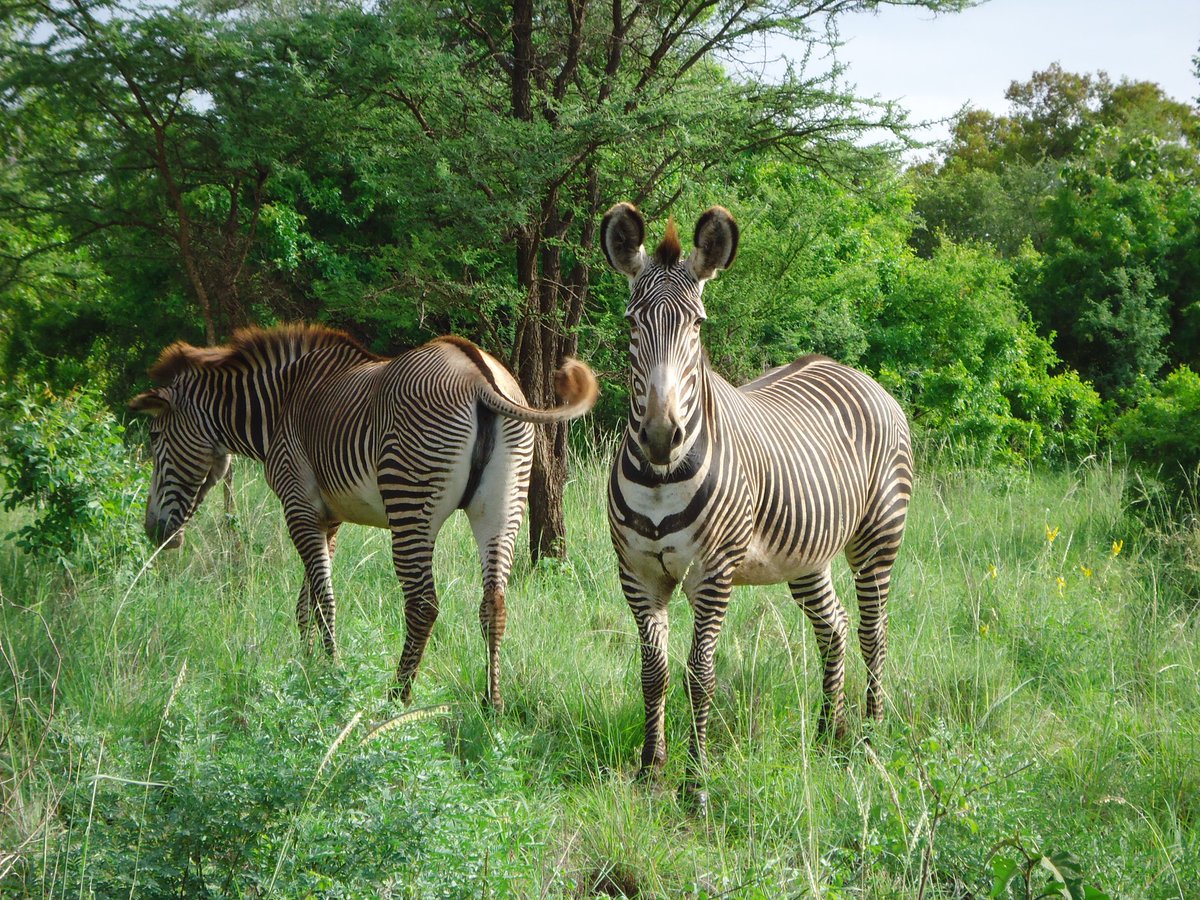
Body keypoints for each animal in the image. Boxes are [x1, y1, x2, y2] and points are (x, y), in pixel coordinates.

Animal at [129, 323, 598, 709]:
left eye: (154, 436)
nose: (154, 532)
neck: (282, 404)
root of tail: (478, 374)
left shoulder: (298, 504)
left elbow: (323, 598)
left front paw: (331, 674)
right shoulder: (328, 516)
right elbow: (307, 600)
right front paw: (307, 663)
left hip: (409, 501)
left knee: (423, 605)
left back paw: (396, 698)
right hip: (503, 505)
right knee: (494, 603)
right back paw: (492, 704)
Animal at [601, 202, 912, 805]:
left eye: (697, 326)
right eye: (631, 323)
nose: (660, 436)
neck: (659, 477)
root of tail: (855, 373)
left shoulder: (712, 572)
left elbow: (699, 673)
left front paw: (696, 780)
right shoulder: (637, 572)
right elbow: (653, 672)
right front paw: (651, 769)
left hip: (877, 538)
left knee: (874, 630)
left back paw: (870, 732)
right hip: (808, 556)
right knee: (835, 627)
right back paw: (829, 731)